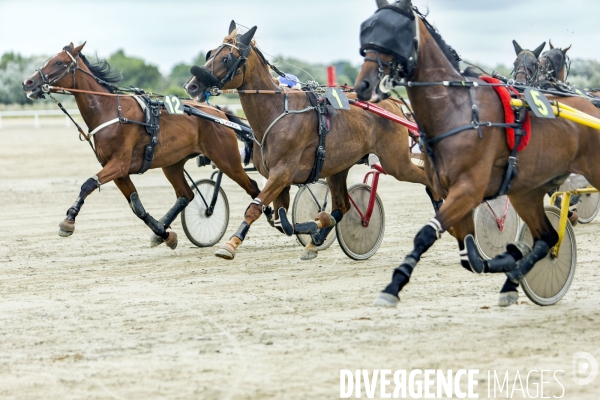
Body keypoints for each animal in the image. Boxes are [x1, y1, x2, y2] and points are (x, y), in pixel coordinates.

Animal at [22, 43, 262, 248]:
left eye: (59, 62)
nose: (28, 83)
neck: (111, 111)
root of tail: (218, 112)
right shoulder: (118, 171)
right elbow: (136, 205)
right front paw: (163, 233)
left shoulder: (118, 164)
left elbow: (88, 184)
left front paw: (69, 220)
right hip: (173, 164)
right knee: (186, 194)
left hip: (226, 160)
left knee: (253, 187)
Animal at [185, 21, 442, 260]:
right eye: (210, 53)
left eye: (226, 58)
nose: (192, 85)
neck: (275, 111)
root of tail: (391, 103)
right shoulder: (277, 178)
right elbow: (282, 221)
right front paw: (311, 228)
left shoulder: (282, 172)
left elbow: (255, 208)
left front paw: (231, 243)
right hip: (338, 166)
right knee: (342, 205)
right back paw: (317, 237)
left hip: (395, 162)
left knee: (426, 178)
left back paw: (440, 207)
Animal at [354, 0, 600, 306]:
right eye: (366, 30)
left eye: (394, 33)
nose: (363, 85)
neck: (456, 111)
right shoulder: (452, 194)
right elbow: (470, 257)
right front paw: (510, 256)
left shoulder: (467, 190)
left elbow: (426, 234)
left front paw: (393, 285)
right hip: (525, 192)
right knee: (547, 237)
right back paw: (512, 281)